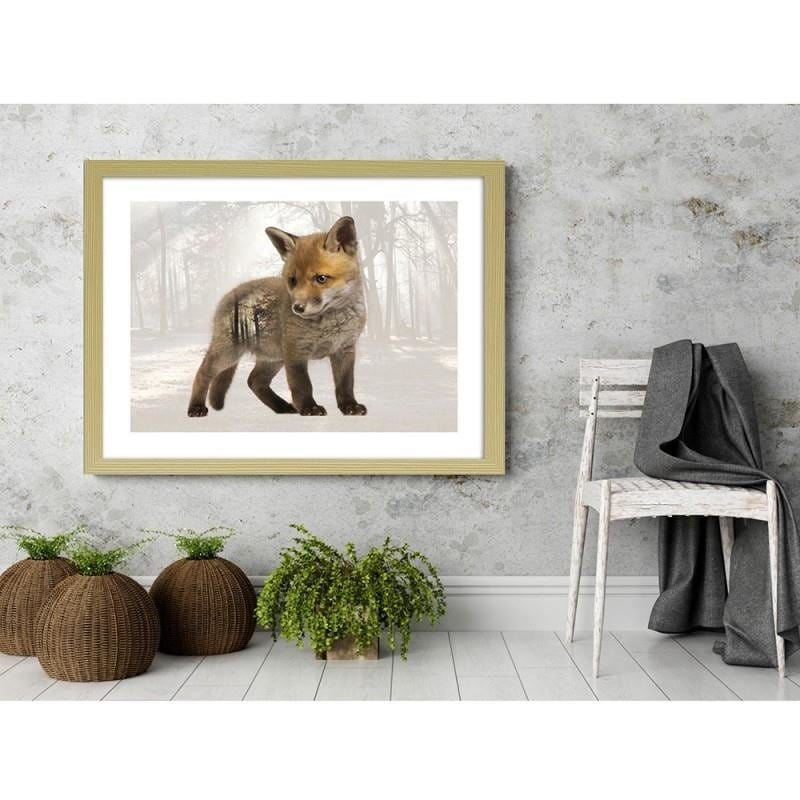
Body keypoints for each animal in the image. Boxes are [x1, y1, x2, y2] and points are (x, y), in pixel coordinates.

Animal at [187, 215, 367, 418]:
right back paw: (195, 407)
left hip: (274, 358)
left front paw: (350, 406)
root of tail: (230, 293)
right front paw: (309, 408)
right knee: (203, 373)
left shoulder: (345, 350)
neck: (330, 321)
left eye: (321, 279)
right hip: (229, 353)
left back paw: (282, 407)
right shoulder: (296, 352)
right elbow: (302, 385)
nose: (298, 308)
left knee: (254, 380)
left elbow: (345, 384)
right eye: (292, 280)